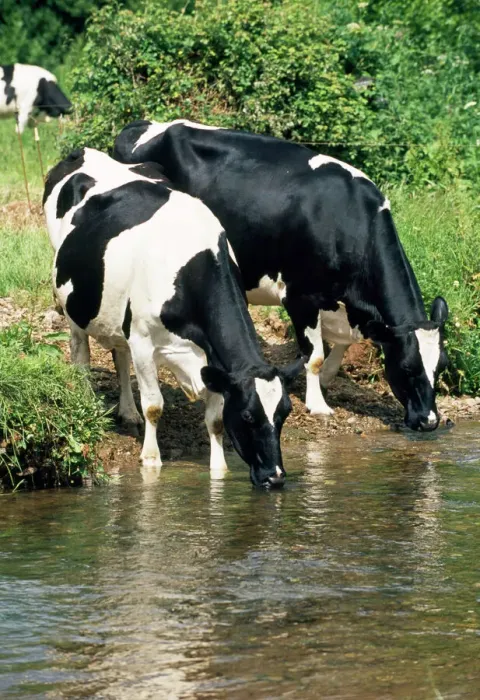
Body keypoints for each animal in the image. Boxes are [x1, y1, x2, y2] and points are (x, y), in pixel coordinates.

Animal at [43, 147, 303, 487]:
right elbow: (154, 405)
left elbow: (216, 420)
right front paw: (150, 461)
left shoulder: (214, 361)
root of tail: (83, 152)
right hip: (71, 298)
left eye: (285, 413)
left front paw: (218, 471)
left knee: (120, 355)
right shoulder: (142, 340)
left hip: (119, 314)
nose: (275, 477)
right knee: (80, 353)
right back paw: (89, 399)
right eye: (248, 416)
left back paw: (128, 412)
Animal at [113, 119, 449, 432]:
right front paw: (318, 404)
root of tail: (141, 125)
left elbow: (342, 343)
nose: (429, 421)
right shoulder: (300, 296)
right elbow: (314, 355)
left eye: (441, 367)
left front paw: (329, 377)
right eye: (407, 368)